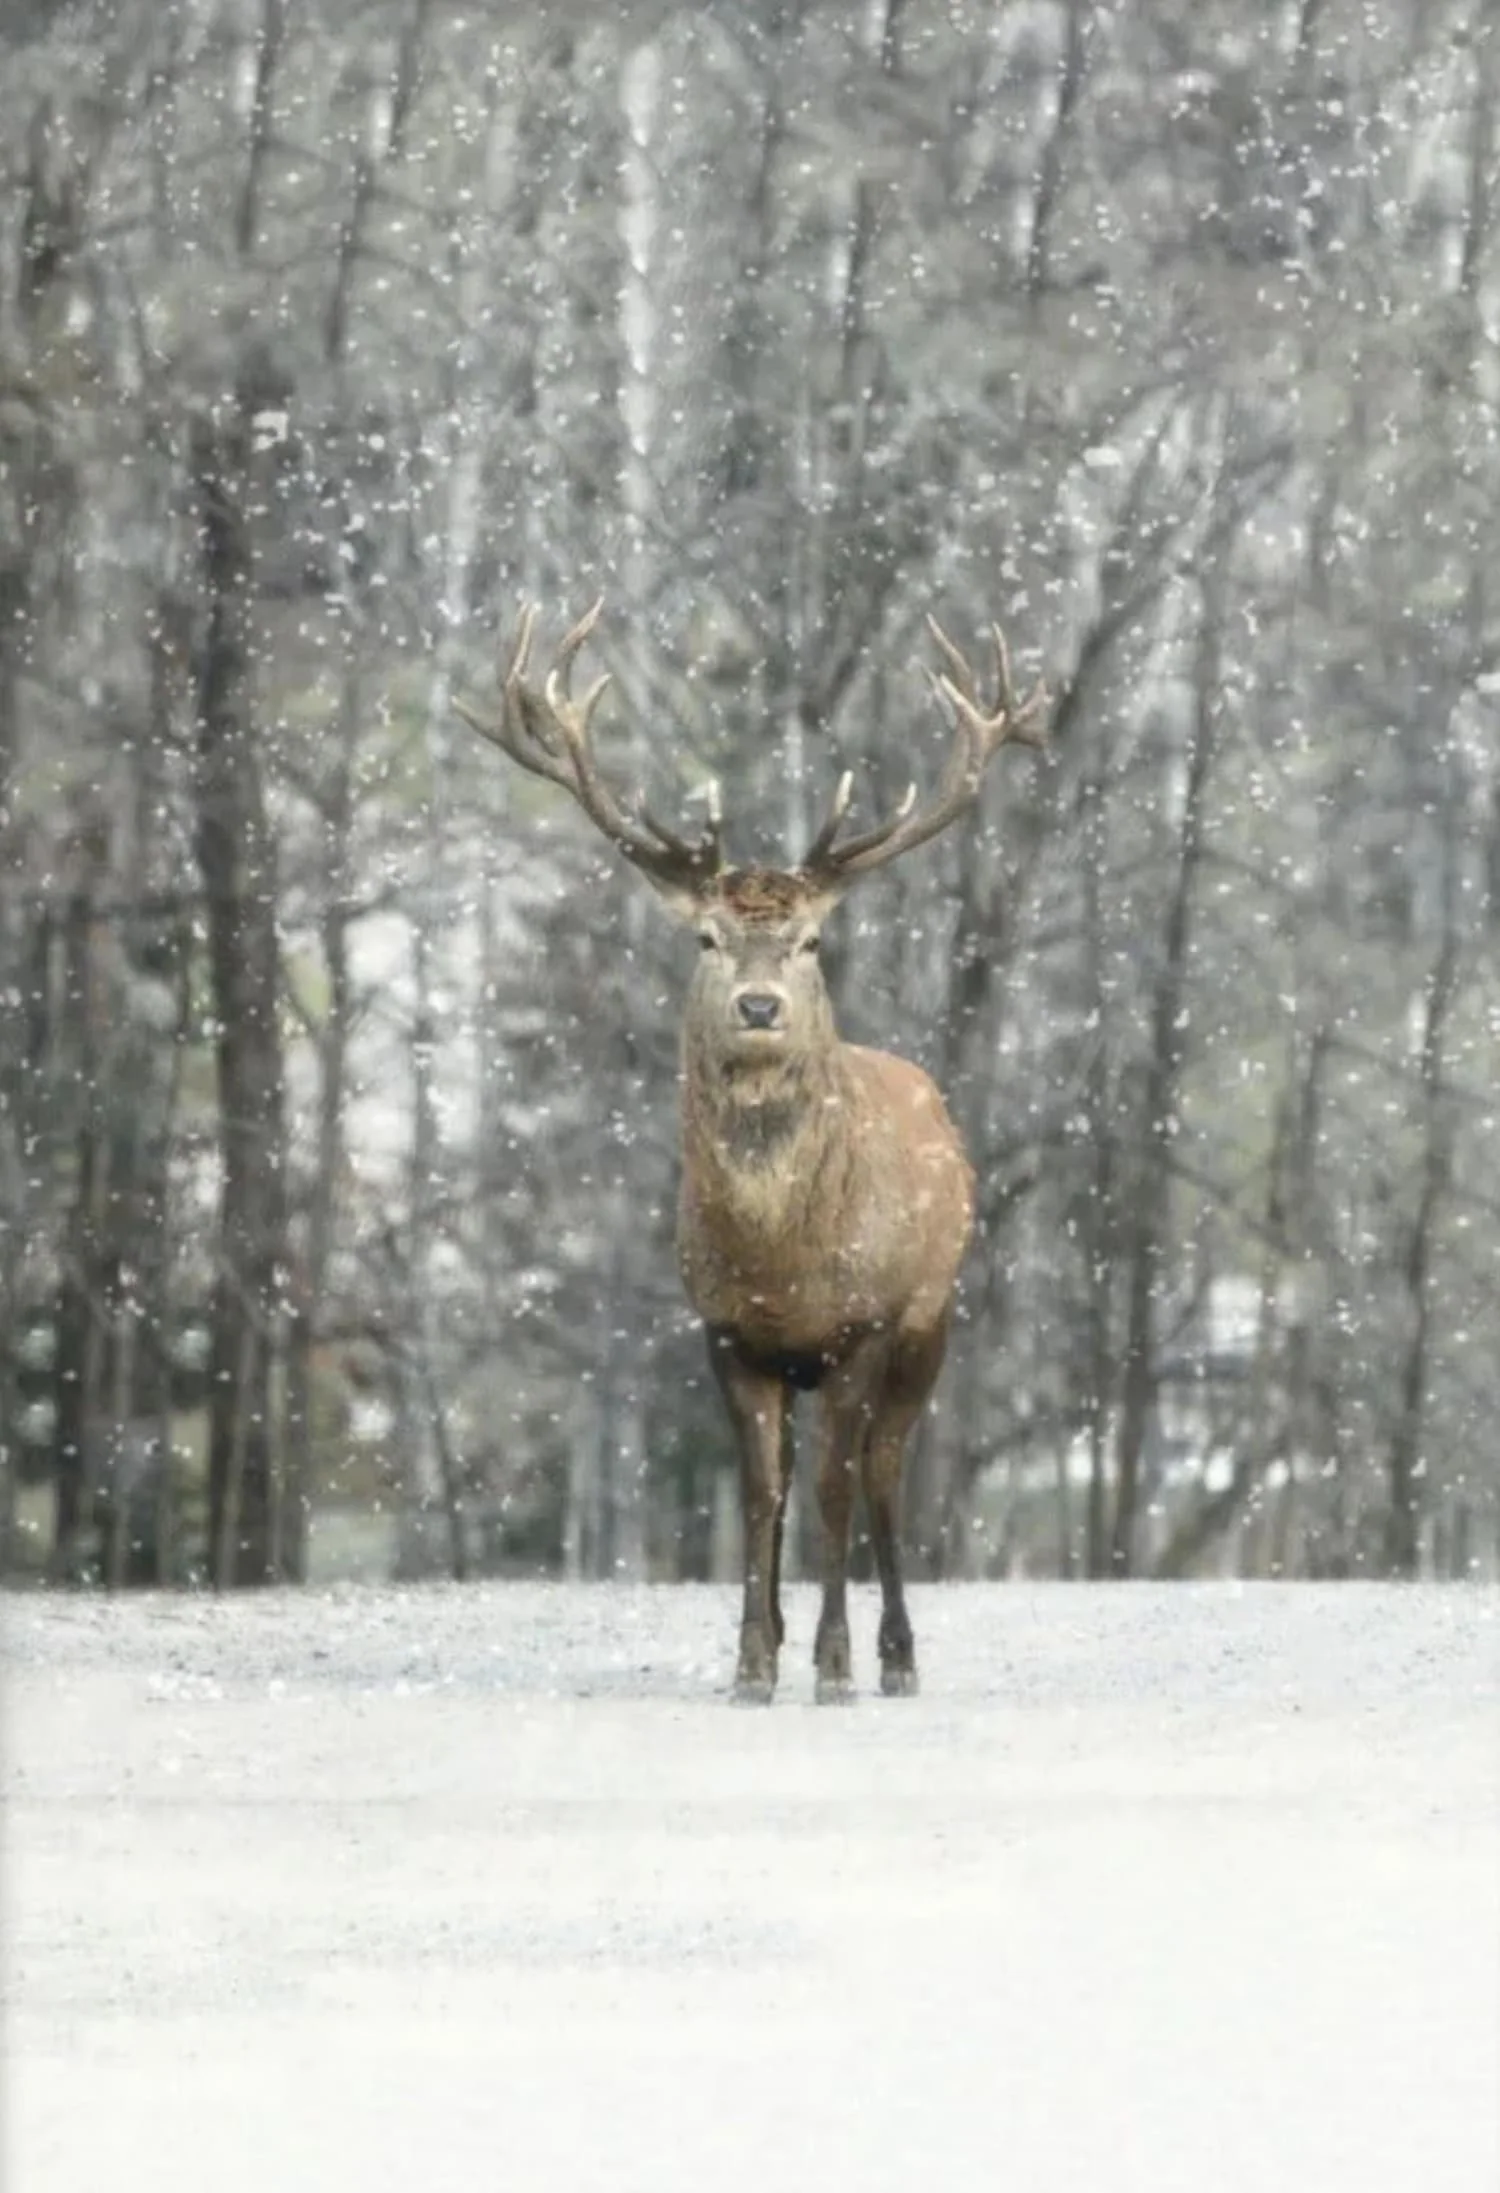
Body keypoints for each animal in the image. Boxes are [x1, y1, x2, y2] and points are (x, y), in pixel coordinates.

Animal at [455, 602, 1047, 1702]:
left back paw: (898, 1655)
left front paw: (834, 1663)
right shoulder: (727, 1330)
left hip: (932, 1315)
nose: (761, 1006)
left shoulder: (859, 1324)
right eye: (708, 940)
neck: (782, 1261)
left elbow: (834, 1491)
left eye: (810, 941)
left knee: (886, 1470)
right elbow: (762, 1492)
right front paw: (753, 1659)